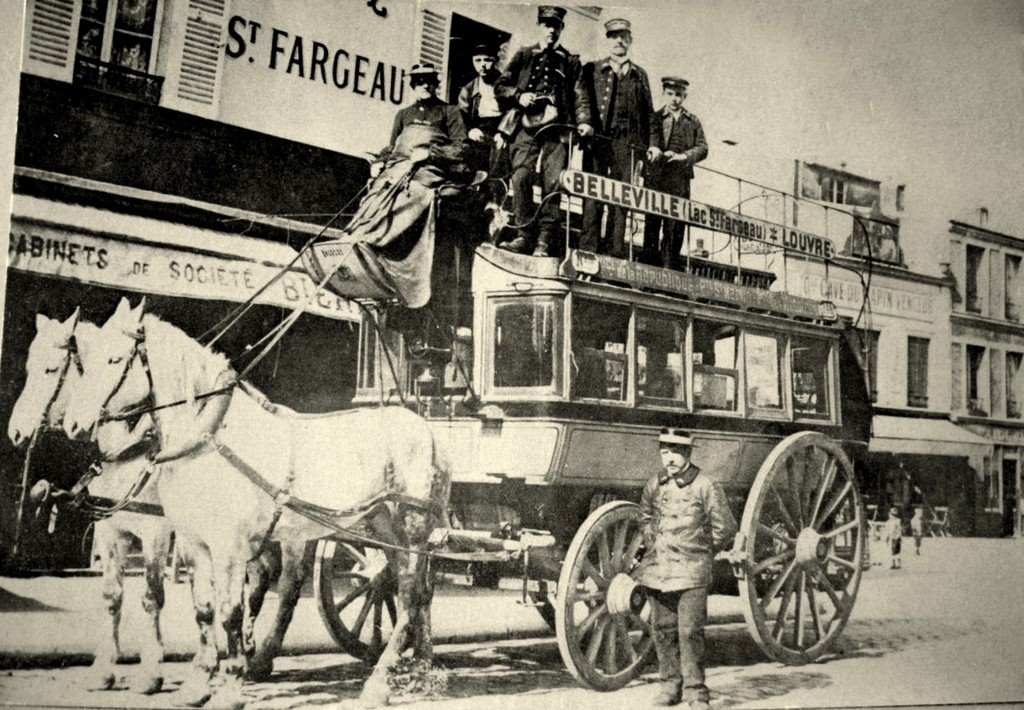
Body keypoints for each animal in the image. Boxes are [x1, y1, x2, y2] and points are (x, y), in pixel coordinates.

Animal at [64, 299, 448, 708]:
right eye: (85, 361)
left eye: (115, 359)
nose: (74, 424)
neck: (211, 436)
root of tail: (426, 428)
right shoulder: (194, 544)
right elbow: (204, 610)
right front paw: (199, 684)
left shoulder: (228, 547)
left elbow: (230, 613)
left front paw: (231, 686)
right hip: (378, 526)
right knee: (410, 590)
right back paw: (420, 667)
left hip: (411, 525)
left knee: (410, 592)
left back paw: (381, 680)